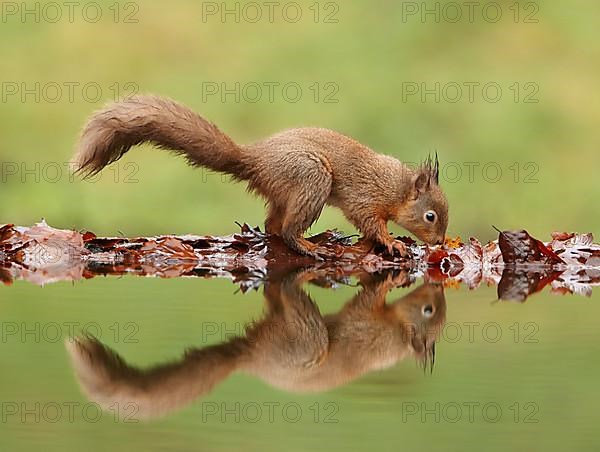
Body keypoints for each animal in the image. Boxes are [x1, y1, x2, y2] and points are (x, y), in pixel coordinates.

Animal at [72, 95, 448, 256]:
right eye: (430, 216)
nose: (441, 243)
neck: (397, 189)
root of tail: (255, 160)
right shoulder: (366, 198)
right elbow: (370, 222)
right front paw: (390, 241)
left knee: (272, 225)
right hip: (312, 179)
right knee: (288, 229)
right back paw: (309, 246)